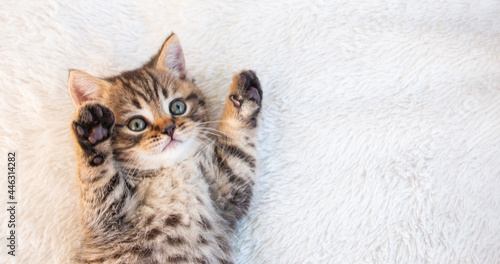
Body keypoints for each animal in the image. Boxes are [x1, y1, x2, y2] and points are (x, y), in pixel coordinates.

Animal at [69, 34, 264, 262]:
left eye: (177, 107)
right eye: (137, 124)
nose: (169, 129)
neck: (170, 169)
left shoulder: (227, 191)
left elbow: (239, 147)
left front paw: (243, 98)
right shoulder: (104, 220)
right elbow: (98, 181)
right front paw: (93, 133)